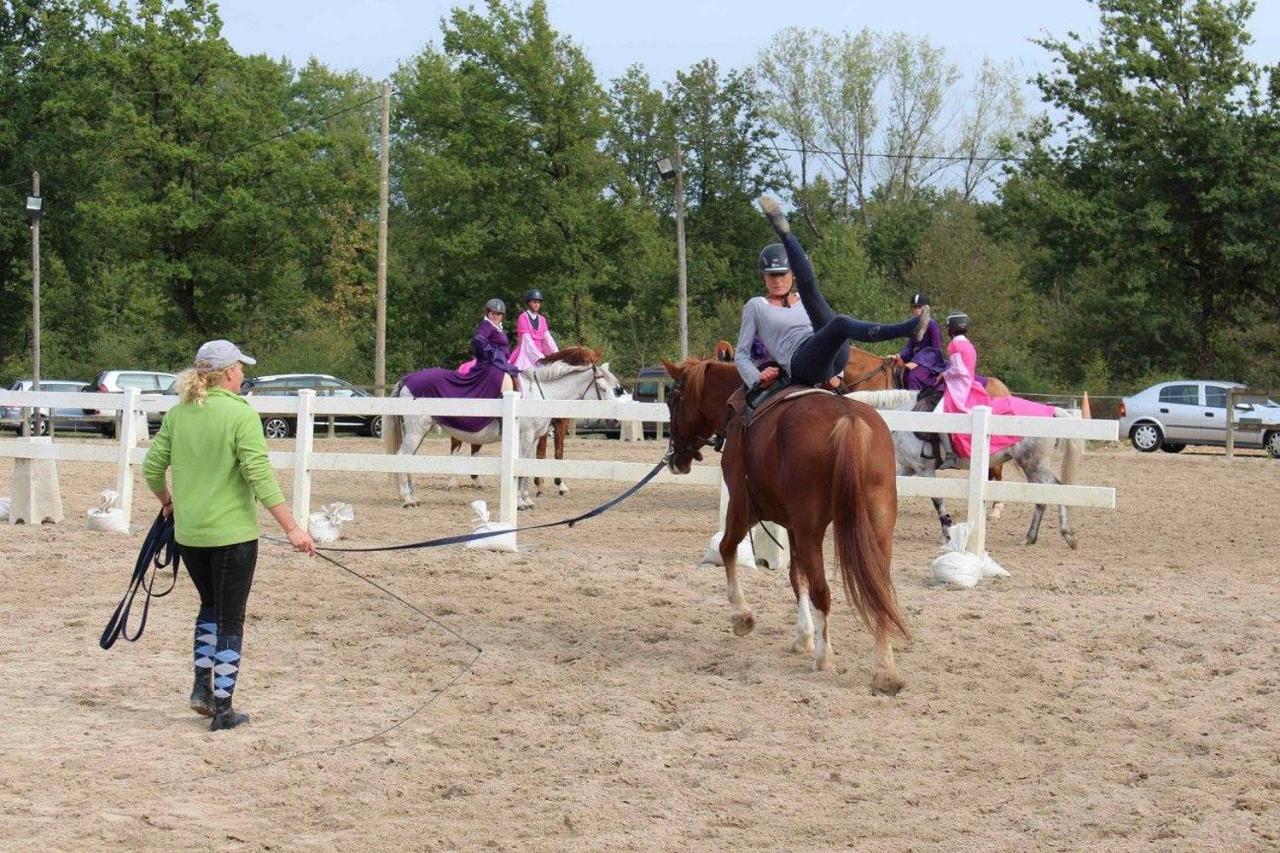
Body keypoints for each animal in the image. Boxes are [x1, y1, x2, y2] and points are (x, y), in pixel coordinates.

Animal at [381, 356, 622, 507]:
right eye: (602, 389)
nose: (614, 421)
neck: (538, 395)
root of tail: (406, 380)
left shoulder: (534, 439)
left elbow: (527, 466)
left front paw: (526, 499)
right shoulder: (525, 437)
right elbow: (522, 468)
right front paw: (521, 502)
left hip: (418, 432)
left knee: (408, 460)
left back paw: (413, 496)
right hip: (415, 432)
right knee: (402, 457)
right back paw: (408, 499)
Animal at [660, 356, 911, 696]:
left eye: (673, 399)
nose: (674, 458)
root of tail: (848, 419)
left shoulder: (745, 505)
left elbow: (728, 548)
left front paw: (742, 617)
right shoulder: (792, 524)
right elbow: (796, 576)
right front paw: (803, 636)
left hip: (810, 528)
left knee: (822, 590)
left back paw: (824, 659)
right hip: (876, 527)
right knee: (878, 590)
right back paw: (885, 671)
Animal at [855, 389, 1085, 548]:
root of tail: (1050, 411)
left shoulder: (924, 469)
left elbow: (937, 501)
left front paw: (947, 531)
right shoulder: (908, 468)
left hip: (1033, 465)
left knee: (1053, 491)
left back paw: (1053, 535)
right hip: (1034, 466)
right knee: (1049, 493)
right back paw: (1040, 536)